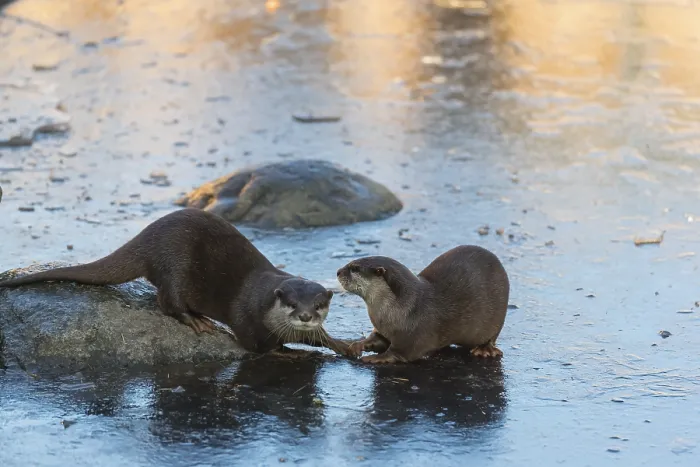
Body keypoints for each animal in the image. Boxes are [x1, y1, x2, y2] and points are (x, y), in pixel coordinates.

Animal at [0, 208, 352, 357]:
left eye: (318, 305)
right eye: (291, 303)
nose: (304, 316)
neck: (265, 305)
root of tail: (147, 238)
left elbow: (320, 338)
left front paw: (345, 346)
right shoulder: (247, 319)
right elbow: (258, 347)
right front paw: (286, 352)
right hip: (175, 265)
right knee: (166, 301)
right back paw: (195, 319)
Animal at [336, 245, 509, 364]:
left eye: (354, 268)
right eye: (351, 263)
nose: (338, 272)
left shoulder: (412, 337)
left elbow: (400, 352)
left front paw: (377, 358)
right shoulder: (383, 329)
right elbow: (377, 338)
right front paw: (358, 345)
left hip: (498, 317)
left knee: (492, 336)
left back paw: (484, 349)